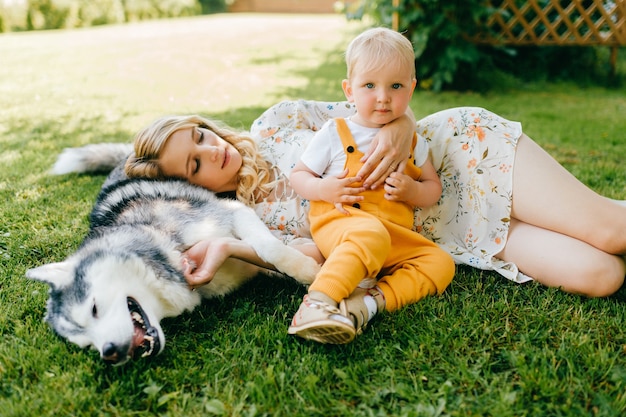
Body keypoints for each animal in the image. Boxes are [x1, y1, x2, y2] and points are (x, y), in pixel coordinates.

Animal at [25, 145, 316, 364]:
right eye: (86, 343)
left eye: (94, 308)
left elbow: (271, 249)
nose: (109, 353)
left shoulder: (229, 211)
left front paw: (306, 270)